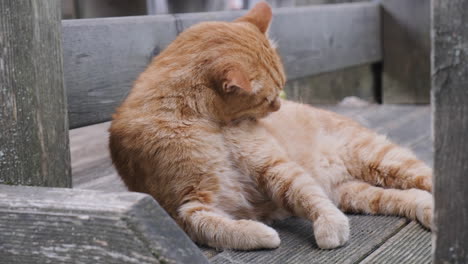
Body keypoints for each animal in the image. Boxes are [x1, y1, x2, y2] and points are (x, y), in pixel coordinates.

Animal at [108, 1, 434, 250]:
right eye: (267, 98)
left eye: (281, 88)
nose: (278, 106)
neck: (208, 125)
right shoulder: (185, 205)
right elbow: (212, 226)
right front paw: (259, 233)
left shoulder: (273, 166)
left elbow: (308, 195)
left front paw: (330, 225)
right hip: (355, 192)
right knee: (409, 196)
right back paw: (431, 212)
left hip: (382, 159)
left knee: (426, 178)